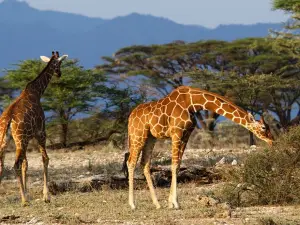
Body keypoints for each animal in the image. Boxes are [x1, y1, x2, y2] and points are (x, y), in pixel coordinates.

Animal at [0, 51, 68, 206]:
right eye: (60, 63)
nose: (59, 73)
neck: (37, 92)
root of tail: (8, 121)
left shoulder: (28, 138)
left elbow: (26, 164)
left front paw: (28, 193)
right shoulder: (40, 133)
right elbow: (45, 159)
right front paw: (46, 196)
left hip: (7, 141)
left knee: (3, 164)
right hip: (20, 140)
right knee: (15, 165)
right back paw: (24, 201)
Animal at [125, 85, 274, 210]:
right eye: (263, 127)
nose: (272, 140)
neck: (192, 103)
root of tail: (130, 117)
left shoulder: (186, 134)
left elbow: (178, 166)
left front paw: (170, 203)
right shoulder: (176, 133)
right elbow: (173, 165)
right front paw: (175, 203)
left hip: (150, 137)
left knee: (144, 163)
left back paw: (157, 204)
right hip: (138, 135)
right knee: (131, 162)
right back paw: (132, 204)